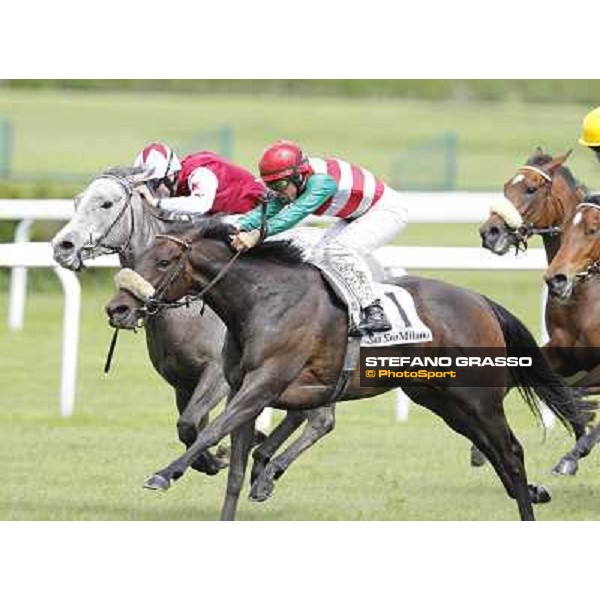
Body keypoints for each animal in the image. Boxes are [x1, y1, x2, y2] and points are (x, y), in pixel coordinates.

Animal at [104, 217, 596, 520]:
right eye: (138, 257)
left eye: (164, 261)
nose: (117, 309)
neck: (262, 300)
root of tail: (481, 301)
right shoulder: (248, 389)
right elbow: (235, 471)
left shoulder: (264, 385)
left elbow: (209, 431)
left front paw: (164, 474)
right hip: (442, 400)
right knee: (494, 454)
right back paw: (532, 492)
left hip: (477, 398)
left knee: (509, 453)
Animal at [478, 149, 600, 474]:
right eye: (507, 185)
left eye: (531, 189)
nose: (490, 232)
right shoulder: (562, 352)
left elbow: (576, 394)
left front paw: (574, 453)